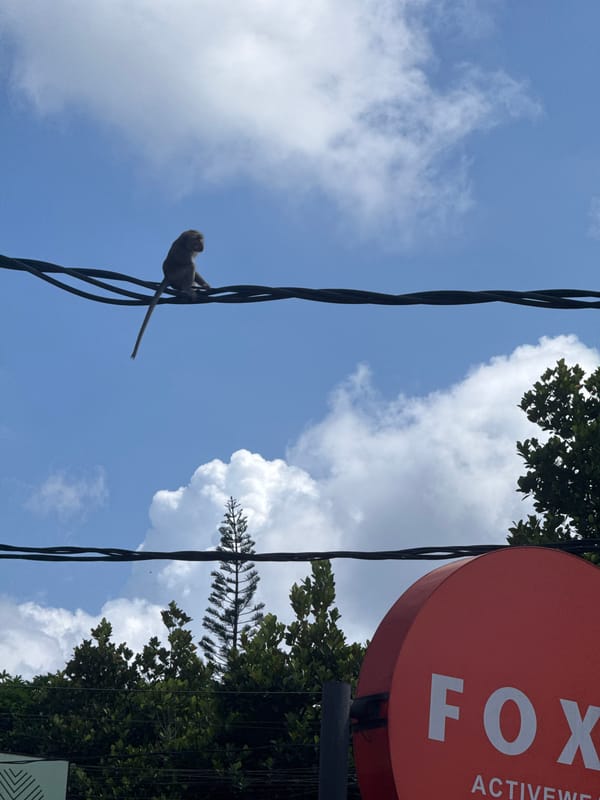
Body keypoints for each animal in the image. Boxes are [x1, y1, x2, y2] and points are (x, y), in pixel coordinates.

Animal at [130, 230, 209, 359]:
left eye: (201, 239)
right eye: (197, 239)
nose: (202, 246)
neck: (184, 242)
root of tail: (167, 276)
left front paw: (207, 286)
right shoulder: (184, 253)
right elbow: (190, 265)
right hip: (177, 276)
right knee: (190, 267)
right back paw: (187, 289)